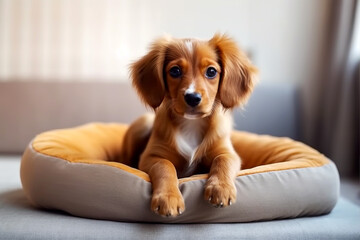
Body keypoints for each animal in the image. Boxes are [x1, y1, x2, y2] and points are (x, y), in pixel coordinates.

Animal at [122, 33, 258, 218]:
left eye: (211, 71)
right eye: (175, 71)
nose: (192, 97)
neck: (191, 124)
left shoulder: (227, 152)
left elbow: (223, 160)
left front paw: (221, 188)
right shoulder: (151, 156)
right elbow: (165, 166)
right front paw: (168, 198)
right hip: (142, 124)